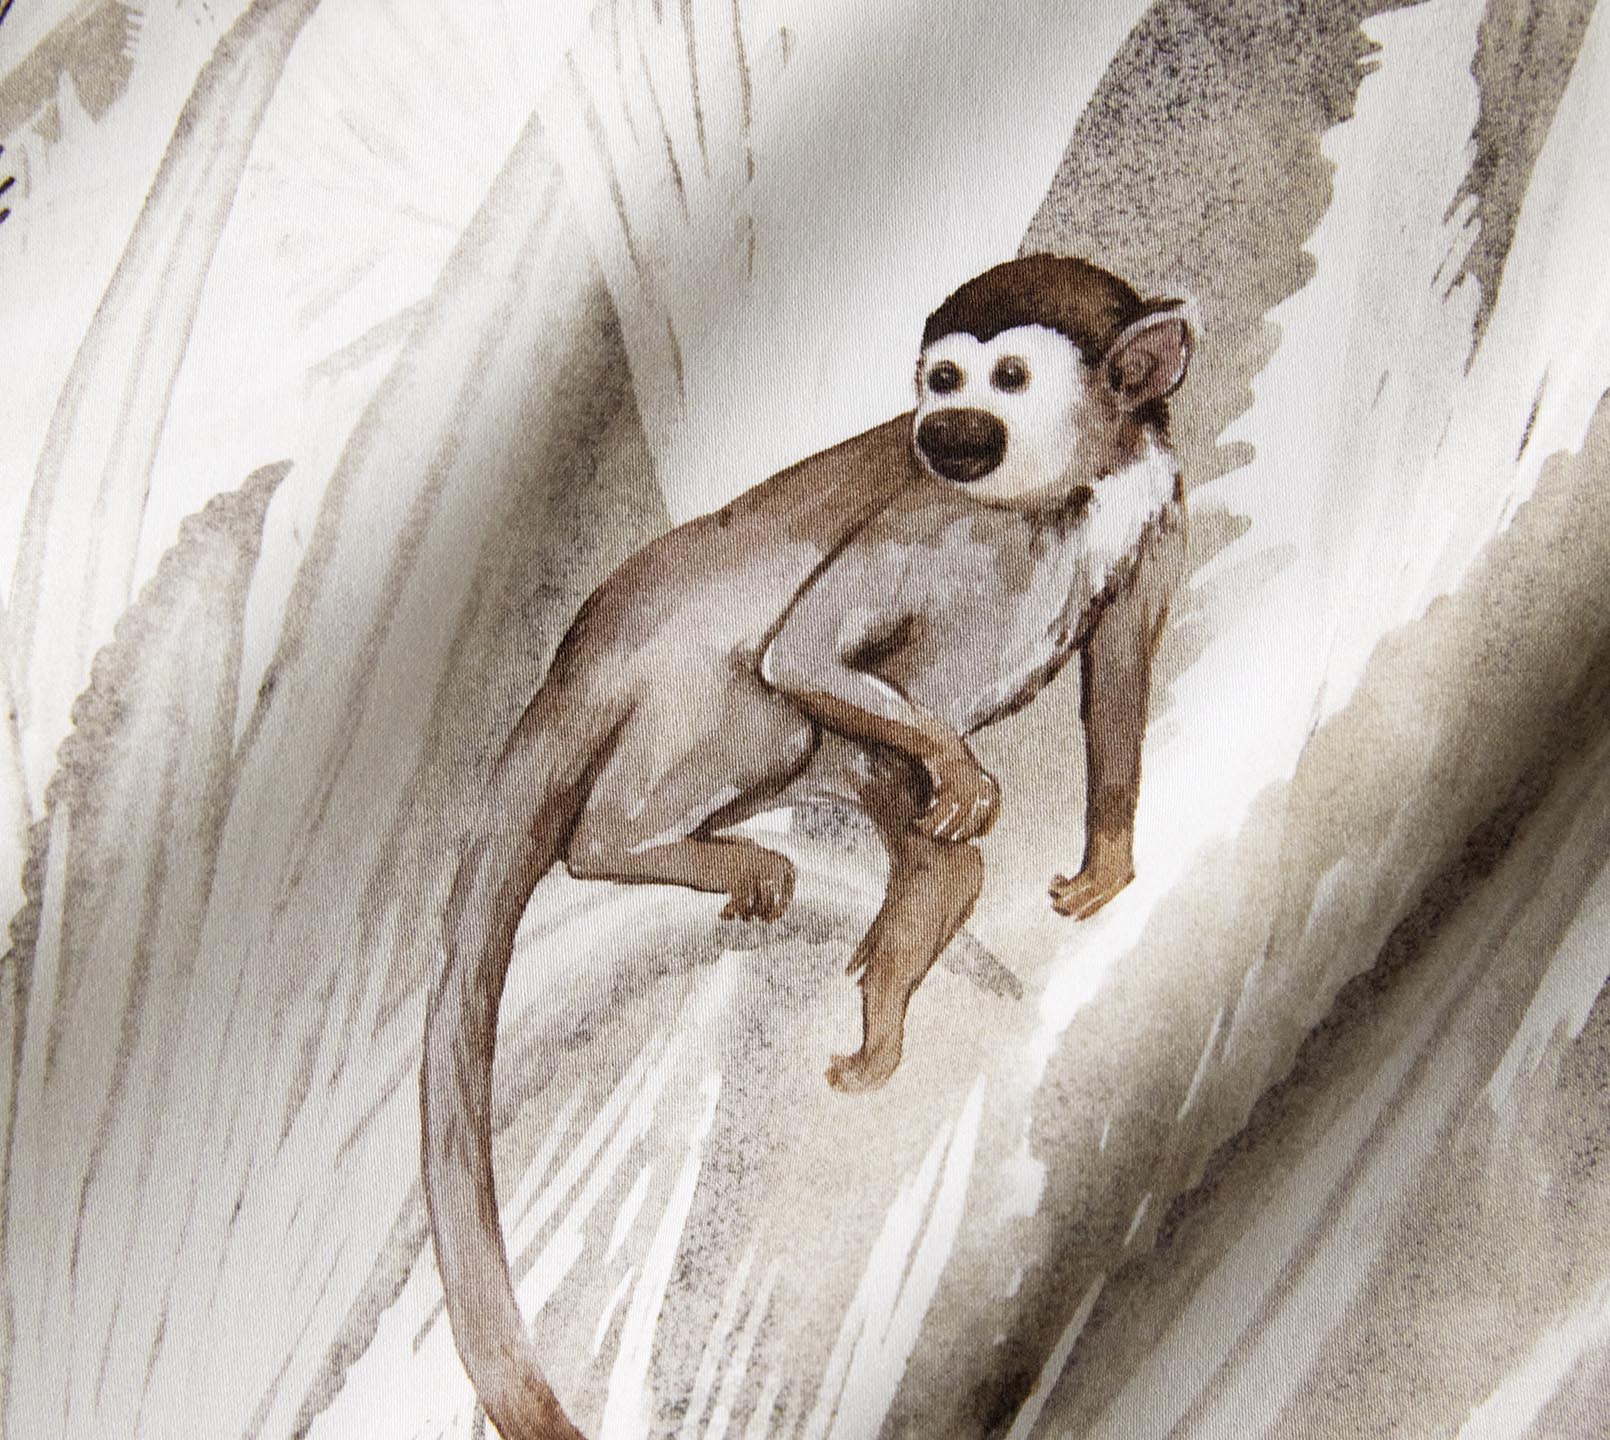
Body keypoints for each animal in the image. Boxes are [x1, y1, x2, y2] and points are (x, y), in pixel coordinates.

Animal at [421, 254, 1193, 1440]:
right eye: (942, 381)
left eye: (1006, 379)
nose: (944, 431)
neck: (1068, 501)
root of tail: (574, 663)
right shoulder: (935, 522)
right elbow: (805, 651)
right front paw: (964, 768)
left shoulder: (1152, 503)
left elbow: (1116, 677)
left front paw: (1105, 856)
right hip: (678, 702)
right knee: (767, 706)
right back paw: (642, 845)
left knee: (914, 832)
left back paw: (895, 969)